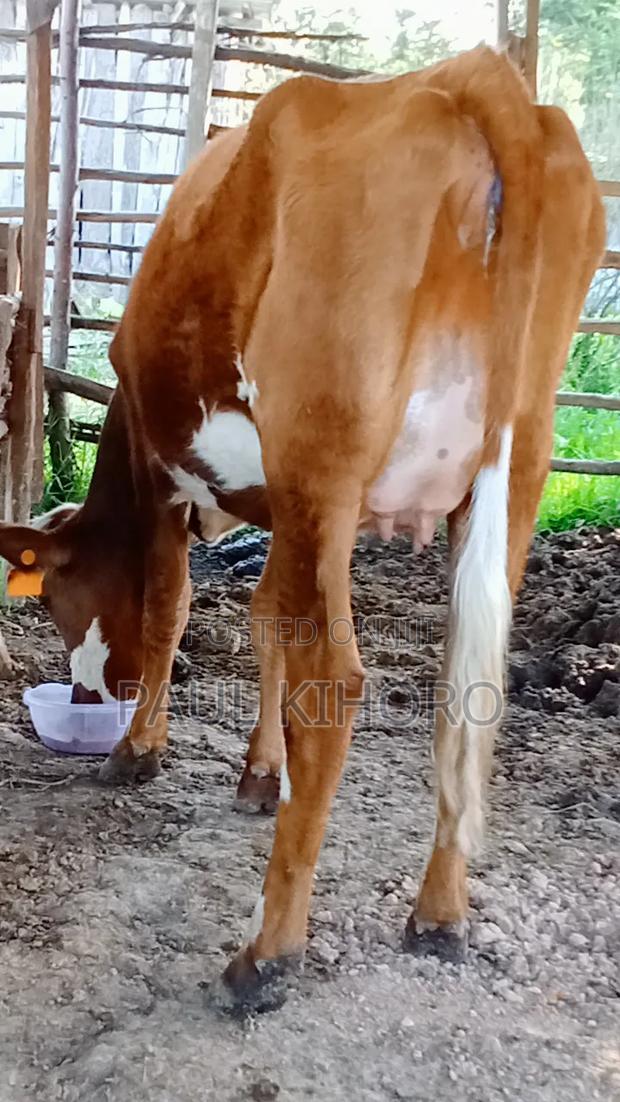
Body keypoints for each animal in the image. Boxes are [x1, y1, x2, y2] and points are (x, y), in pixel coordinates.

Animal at [0, 46, 604, 1012]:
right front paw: (258, 772)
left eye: (55, 597)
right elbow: (265, 620)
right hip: (514, 473)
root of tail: (484, 81)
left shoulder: (180, 478)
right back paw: (440, 916)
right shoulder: (286, 505)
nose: (94, 697)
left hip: (327, 450)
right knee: (468, 690)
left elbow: (173, 611)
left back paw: (267, 952)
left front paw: (139, 750)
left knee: (340, 685)